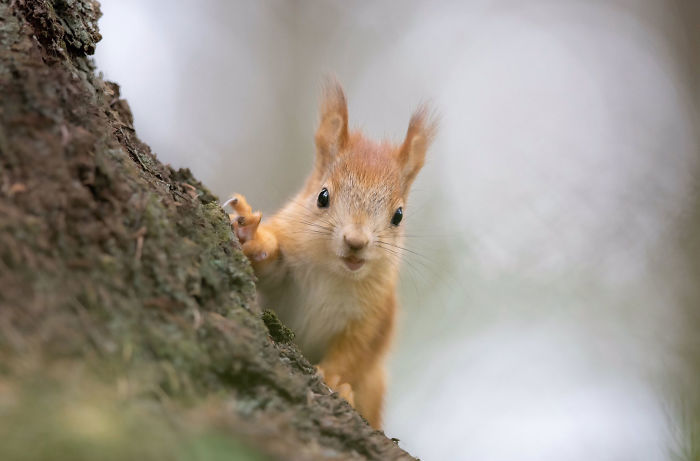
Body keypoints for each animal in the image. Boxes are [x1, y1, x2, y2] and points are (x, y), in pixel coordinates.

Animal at [225, 79, 436, 429]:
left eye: (398, 215)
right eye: (322, 196)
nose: (356, 241)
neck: (333, 274)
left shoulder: (374, 314)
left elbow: (355, 352)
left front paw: (336, 380)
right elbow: (267, 267)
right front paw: (253, 236)